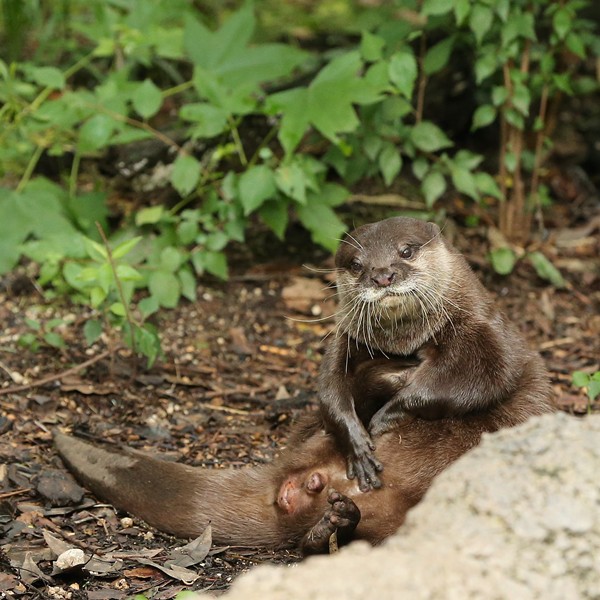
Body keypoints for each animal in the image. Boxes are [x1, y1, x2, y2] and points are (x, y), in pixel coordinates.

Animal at [318, 218, 552, 490]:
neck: (406, 342)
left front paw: (387, 412)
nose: (382, 276)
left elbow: (484, 380)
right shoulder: (344, 342)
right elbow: (329, 393)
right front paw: (358, 447)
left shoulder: (485, 334)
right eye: (356, 265)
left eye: (406, 251)